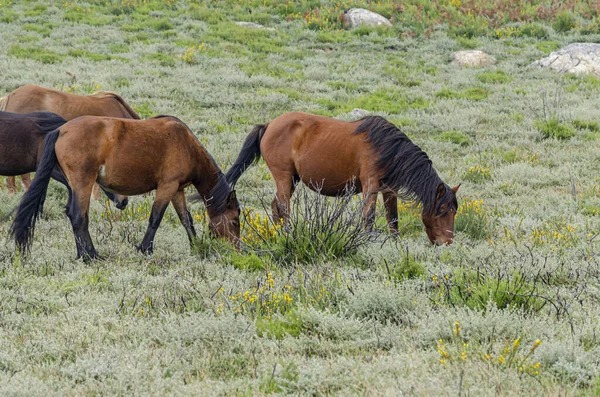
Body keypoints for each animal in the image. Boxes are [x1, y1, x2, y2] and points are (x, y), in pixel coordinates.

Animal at [10, 113, 240, 260]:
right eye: (235, 221)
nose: (236, 248)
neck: (186, 145)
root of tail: (60, 130)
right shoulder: (167, 186)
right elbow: (155, 218)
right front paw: (145, 249)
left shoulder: (177, 190)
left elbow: (186, 219)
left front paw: (196, 246)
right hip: (83, 182)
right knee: (78, 216)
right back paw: (90, 255)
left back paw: (82, 253)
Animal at [225, 111, 460, 244]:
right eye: (442, 210)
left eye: (453, 211)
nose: (447, 242)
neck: (388, 149)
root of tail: (269, 125)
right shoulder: (370, 185)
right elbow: (369, 216)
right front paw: (368, 241)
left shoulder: (389, 189)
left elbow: (392, 218)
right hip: (284, 178)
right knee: (284, 208)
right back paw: (287, 234)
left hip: (291, 180)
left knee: (276, 207)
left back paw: (276, 234)